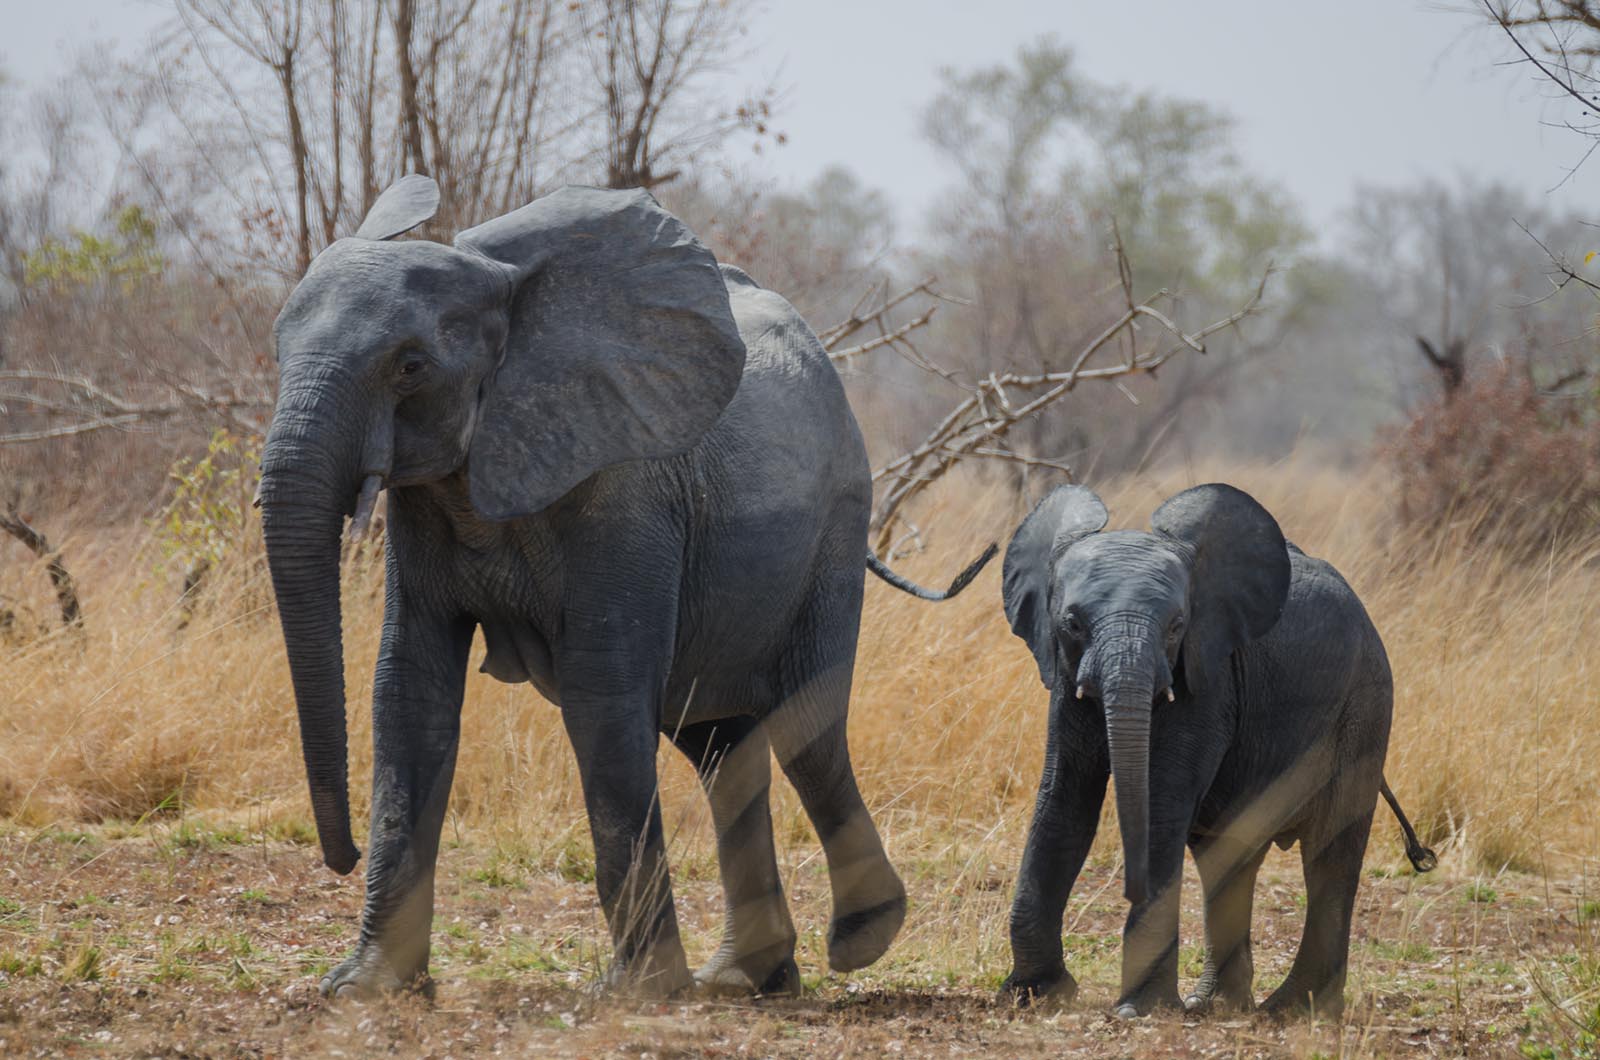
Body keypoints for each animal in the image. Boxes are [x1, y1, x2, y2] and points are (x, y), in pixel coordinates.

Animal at [257, 175, 995, 1000]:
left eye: (410, 366)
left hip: (834, 526)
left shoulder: (627, 489)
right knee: (720, 747)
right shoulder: (428, 501)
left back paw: (860, 940)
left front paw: (636, 992)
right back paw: (744, 977)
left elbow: (602, 691)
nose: (341, 856)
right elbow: (409, 691)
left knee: (806, 729)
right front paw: (366, 988)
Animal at [997, 483, 1435, 1020]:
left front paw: (1138, 1010)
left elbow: (1163, 802)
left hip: (1366, 706)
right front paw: (1034, 993)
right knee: (1226, 856)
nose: (1129, 888)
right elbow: (1063, 800)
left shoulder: (1209, 679)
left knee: (1330, 854)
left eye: (1177, 625)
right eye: (1073, 623)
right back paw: (1219, 1005)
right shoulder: (1064, 673)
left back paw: (1296, 1011)